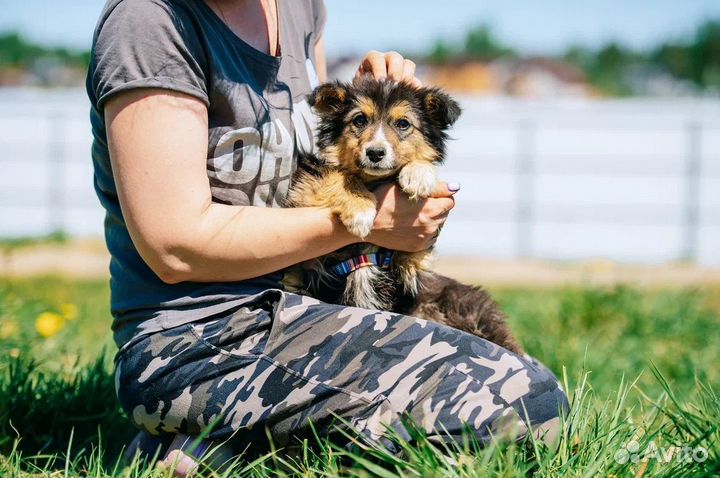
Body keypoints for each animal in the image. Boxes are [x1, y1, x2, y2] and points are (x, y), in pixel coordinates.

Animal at [282, 78, 524, 354]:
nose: (375, 153)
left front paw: (419, 174)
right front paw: (360, 208)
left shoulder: (414, 259)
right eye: (359, 120)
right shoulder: (302, 213)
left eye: (403, 124)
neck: (374, 181)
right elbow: (333, 174)